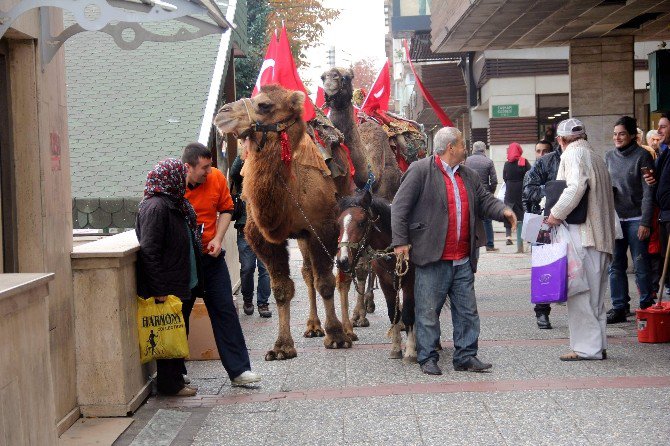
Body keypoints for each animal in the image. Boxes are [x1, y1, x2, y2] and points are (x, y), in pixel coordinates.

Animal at [214, 85, 356, 360]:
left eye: (265, 105)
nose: (222, 113)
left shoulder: (323, 229)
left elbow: (326, 282)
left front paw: (336, 336)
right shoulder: (264, 238)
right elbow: (282, 288)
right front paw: (282, 347)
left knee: (341, 274)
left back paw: (348, 330)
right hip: (301, 237)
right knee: (307, 273)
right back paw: (313, 326)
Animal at [322, 68, 402, 328]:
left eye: (345, 77)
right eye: (323, 76)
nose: (330, 87)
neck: (369, 174)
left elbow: (367, 264)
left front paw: (359, 315)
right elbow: (359, 263)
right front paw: (358, 314)